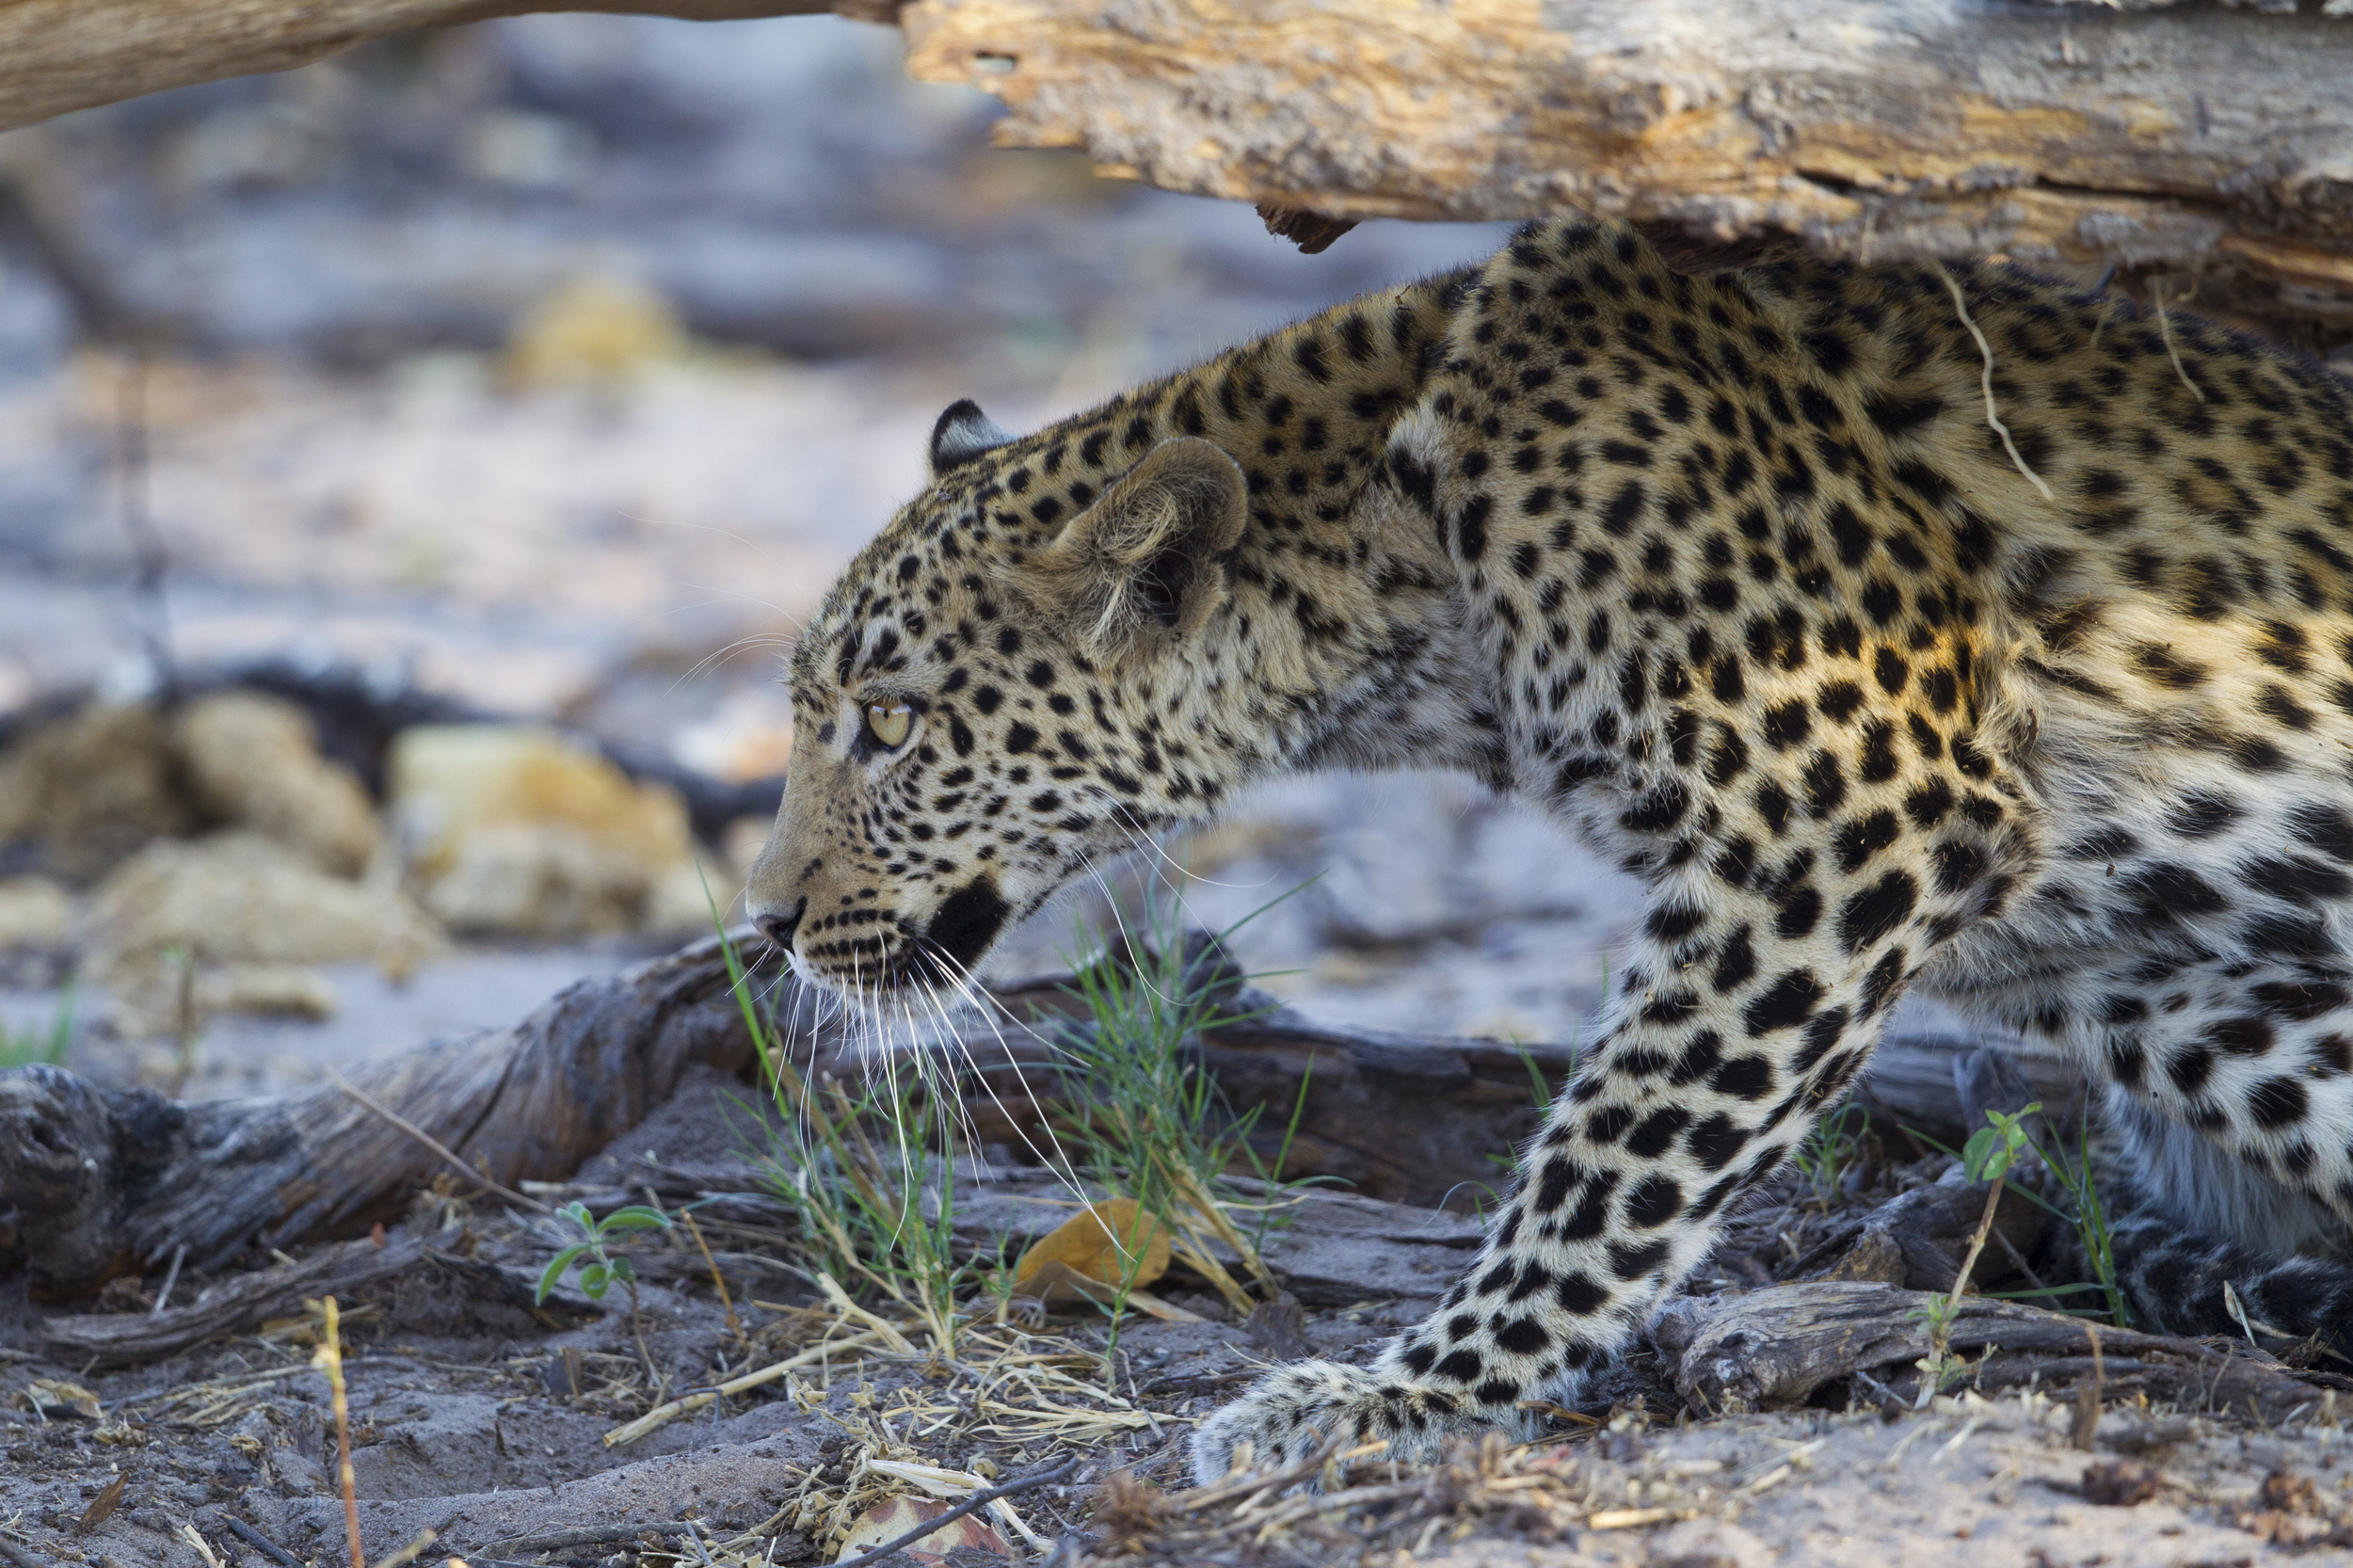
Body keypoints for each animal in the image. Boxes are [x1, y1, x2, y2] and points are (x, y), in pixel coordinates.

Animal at [744, 216, 2353, 1478]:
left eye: (889, 722)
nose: (763, 922)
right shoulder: (2134, 963)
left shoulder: (1847, 816)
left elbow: (1610, 1156)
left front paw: (1409, 1393)